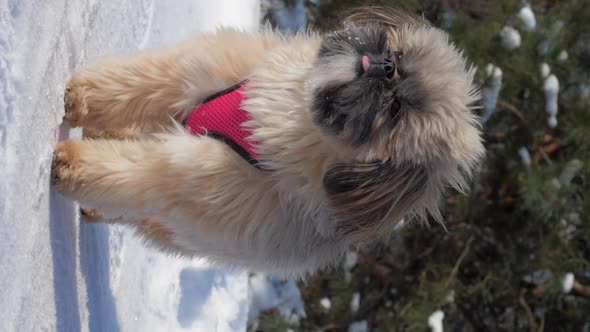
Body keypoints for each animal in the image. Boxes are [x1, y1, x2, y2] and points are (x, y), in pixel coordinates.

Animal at [52, 6, 486, 276]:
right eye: (395, 63)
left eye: (395, 112)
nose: (380, 68)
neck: (293, 118)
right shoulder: (185, 79)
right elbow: (132, 84)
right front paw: (76, 99)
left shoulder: (193, 175)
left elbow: (141, 169)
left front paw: (70, 163)